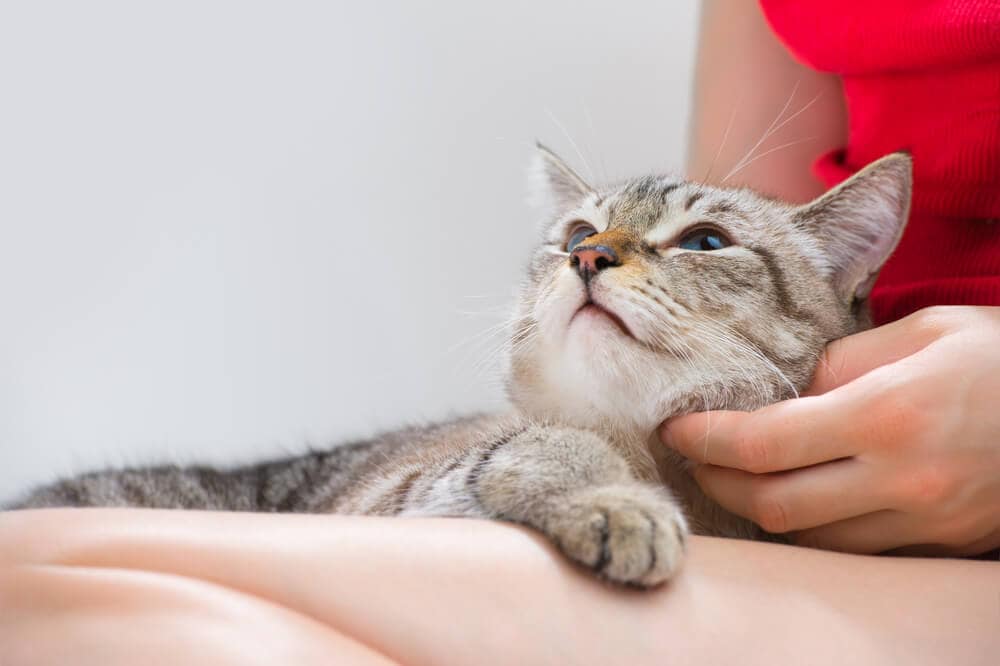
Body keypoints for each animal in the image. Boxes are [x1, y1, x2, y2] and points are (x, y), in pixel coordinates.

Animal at [9, 145, 916, 588]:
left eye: (704, 242)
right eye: (577, 229)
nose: (587, 257)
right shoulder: (418, 494)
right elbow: (550, 445)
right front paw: (619, 505)